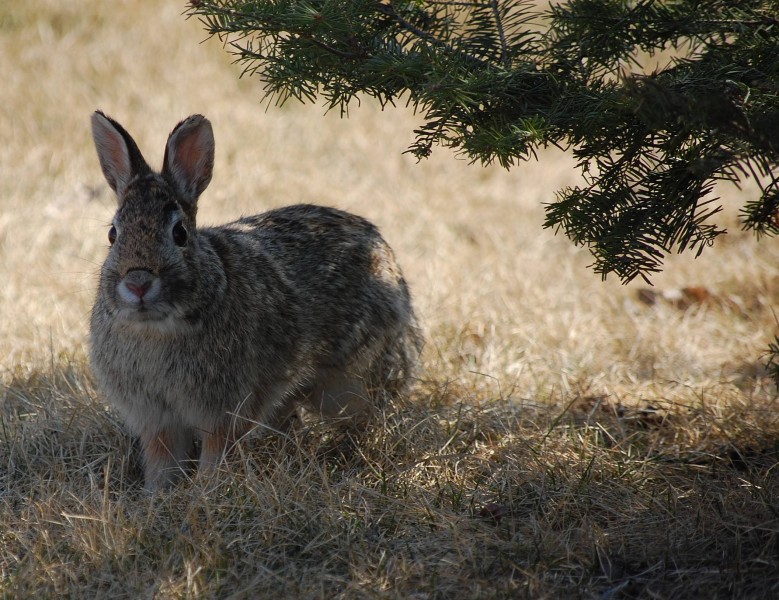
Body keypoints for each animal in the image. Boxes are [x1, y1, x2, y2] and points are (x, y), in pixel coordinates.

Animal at [88, 111, 424, 492]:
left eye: (180, 234)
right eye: (113, 234)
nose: (138, 283)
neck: (157, 328)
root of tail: (388, 258)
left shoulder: (228, 408)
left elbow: (216, 450)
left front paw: (207, 489)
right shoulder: (157, 418)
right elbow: (163, 458)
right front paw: (157, 494)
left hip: (347, 384)